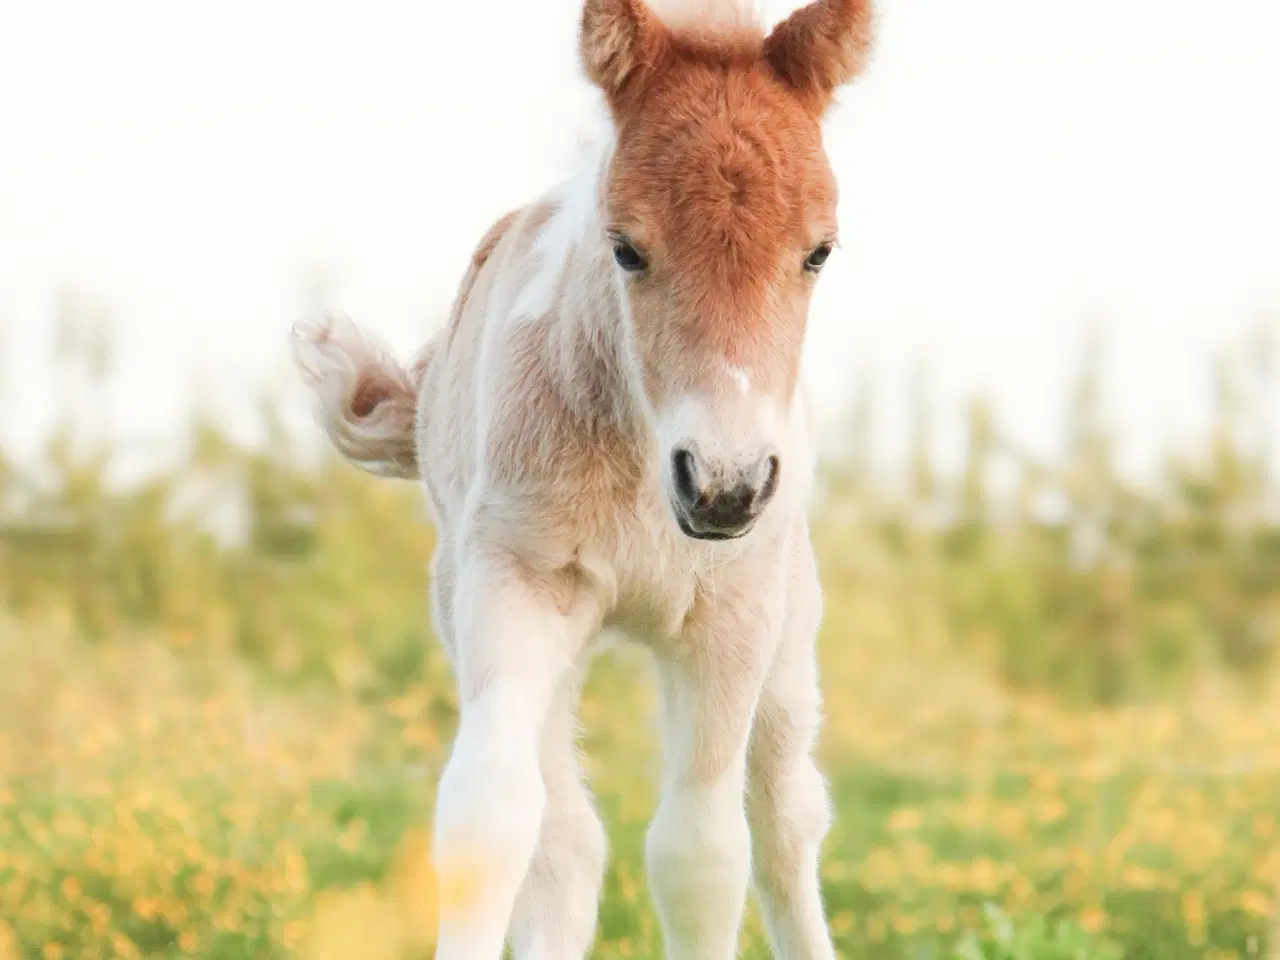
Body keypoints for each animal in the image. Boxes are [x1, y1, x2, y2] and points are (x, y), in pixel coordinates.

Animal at [290, 0, 870, 957]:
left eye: (819, 252)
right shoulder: (514, 584)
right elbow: (491, 822)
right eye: (626, 249)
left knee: (785, 817)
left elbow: (702, 851)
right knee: (564, 838)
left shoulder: (732, 615)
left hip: (792, 623)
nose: (722, 486)